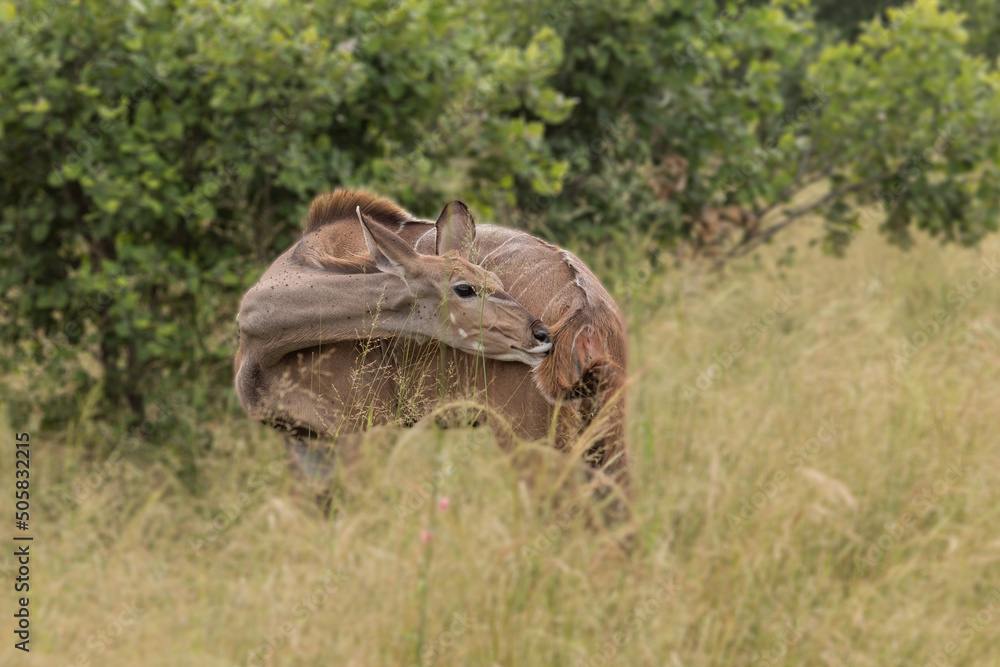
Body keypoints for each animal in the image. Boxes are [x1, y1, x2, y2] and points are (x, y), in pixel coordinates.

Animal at [234, 189, 628, 490]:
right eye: (465, 288)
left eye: (496, 282)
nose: (542, 334)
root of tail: (586, 306)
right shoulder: (303, 436)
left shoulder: (366, 429)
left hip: (532, 436)